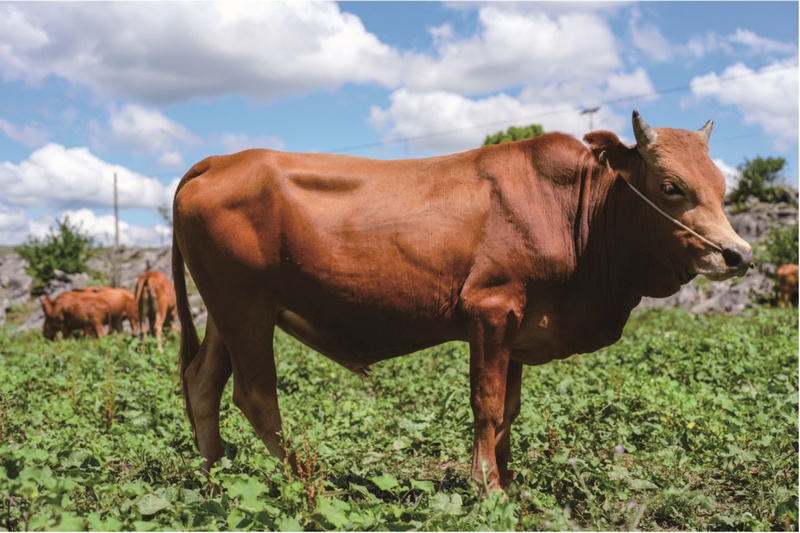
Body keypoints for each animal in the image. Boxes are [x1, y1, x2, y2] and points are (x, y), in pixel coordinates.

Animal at [170, 111, 752, 490]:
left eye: (722, 185)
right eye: (671, 186)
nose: (738, 254)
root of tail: (220, 160)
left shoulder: (520, 328)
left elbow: (510, 409)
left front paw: (510, 484)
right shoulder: (490, 312)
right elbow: (487, 404)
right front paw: (487, 487)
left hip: (228, 311)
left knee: (202, 383)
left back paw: (215, 480)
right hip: (244, 308)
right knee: (256, 396)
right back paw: (307, 482)